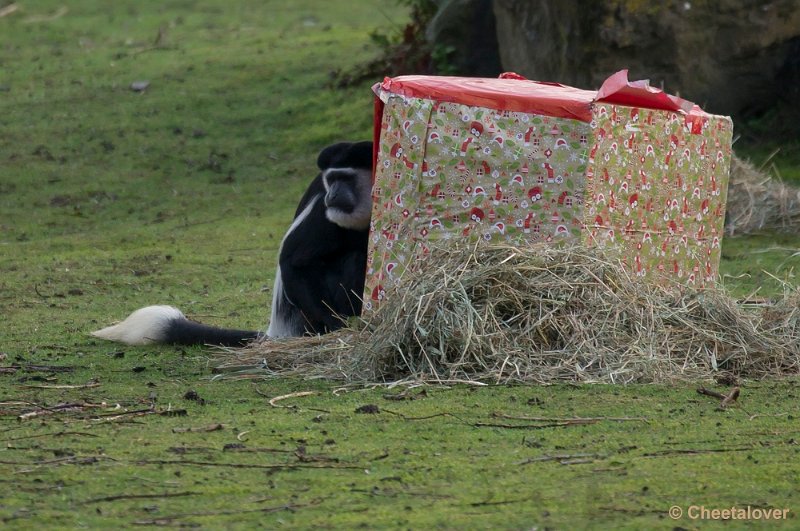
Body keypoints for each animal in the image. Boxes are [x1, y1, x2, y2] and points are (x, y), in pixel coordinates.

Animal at [91, 141, 376, 348]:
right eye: (332, 179)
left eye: (346, 179)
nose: (333, 195)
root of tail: (281, 330)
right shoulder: (323, 211)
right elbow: (294, 261)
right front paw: (338, 327)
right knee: (354, 258)